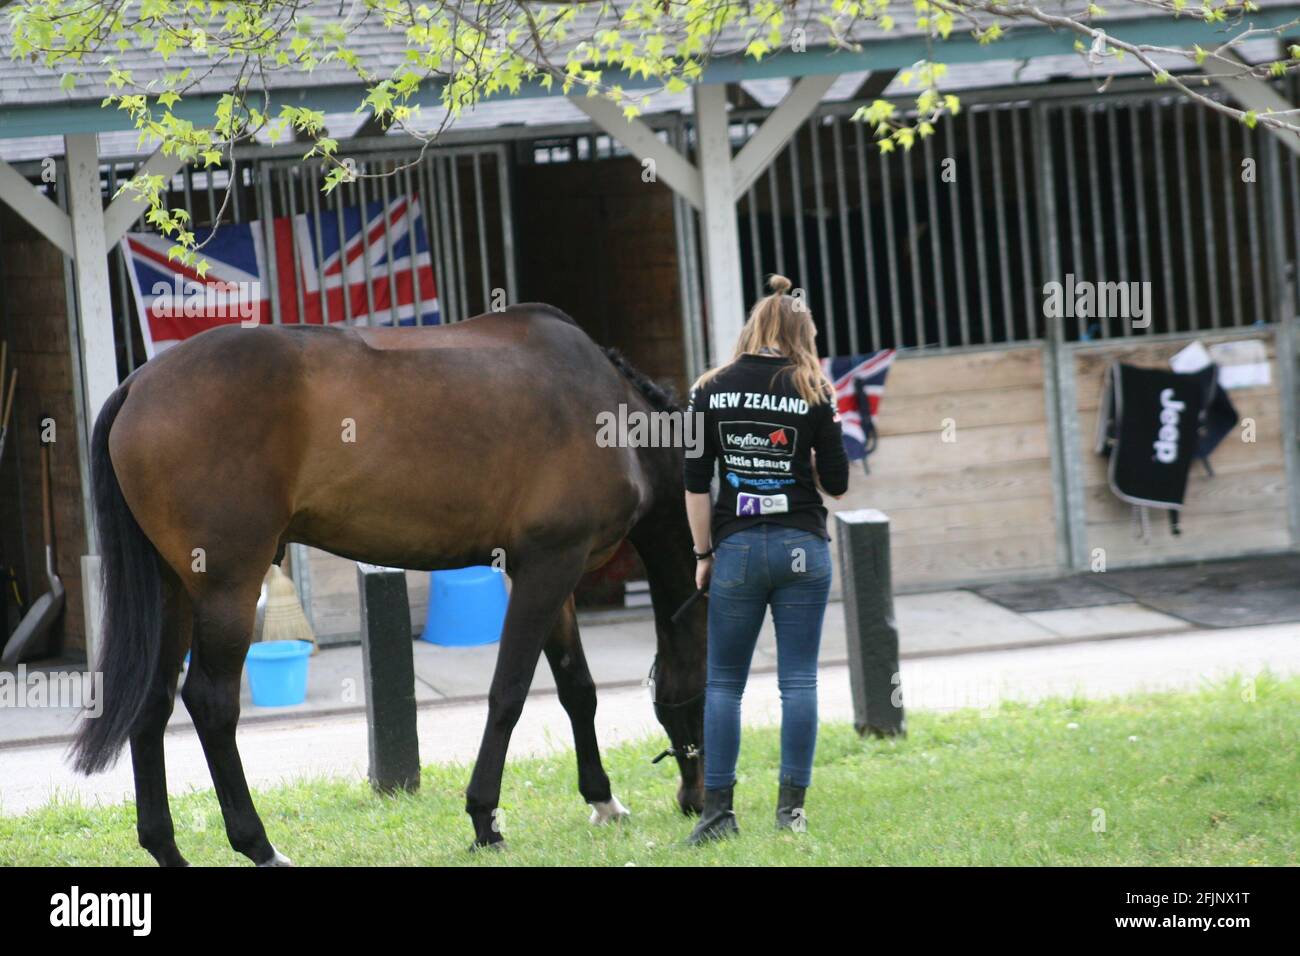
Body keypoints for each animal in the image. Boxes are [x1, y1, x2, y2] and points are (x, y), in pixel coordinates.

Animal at [70, 303, 707, 864]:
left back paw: (167, 848)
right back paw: (260, 846)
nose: (695, 800)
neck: (605, 407)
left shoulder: (548, 572)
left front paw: (603, 801)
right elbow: (509, 692)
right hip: (227, 585)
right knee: (210, 703)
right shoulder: (550, 564)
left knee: (151, 701)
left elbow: (578, 687)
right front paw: (484, 819)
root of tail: (138, 386)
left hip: (173, 589)